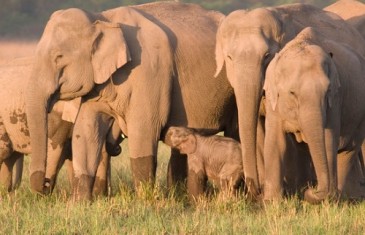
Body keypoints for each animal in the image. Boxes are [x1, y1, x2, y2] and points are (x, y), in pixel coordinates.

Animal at [26, 1, 236, 198]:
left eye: (58, 57)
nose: (45, 184)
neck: (102, 18)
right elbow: (86, 129)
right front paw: (79, 203)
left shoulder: (148, 71)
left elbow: (143, 130)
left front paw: (145, 199)